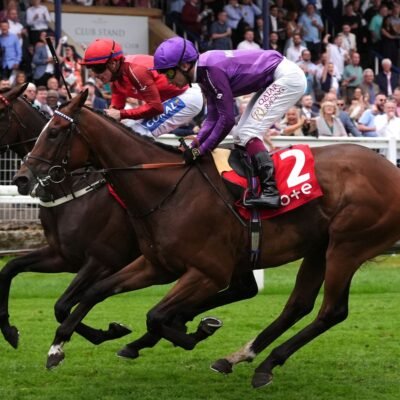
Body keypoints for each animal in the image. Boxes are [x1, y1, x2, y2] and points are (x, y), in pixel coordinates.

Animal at [14, 89, 400, 388]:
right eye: (43, 128)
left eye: (55, 131)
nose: (23, 177)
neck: (166, 189)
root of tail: (390, 170)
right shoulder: (153, 264)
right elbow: (96, 292)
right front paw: (58, 347)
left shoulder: (206, 272)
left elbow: (155, 315)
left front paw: (195, 331)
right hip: (319, 247)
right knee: (298, 305)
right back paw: (242, 357)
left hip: (347, 246)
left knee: (331, 311)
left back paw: (263, 362)